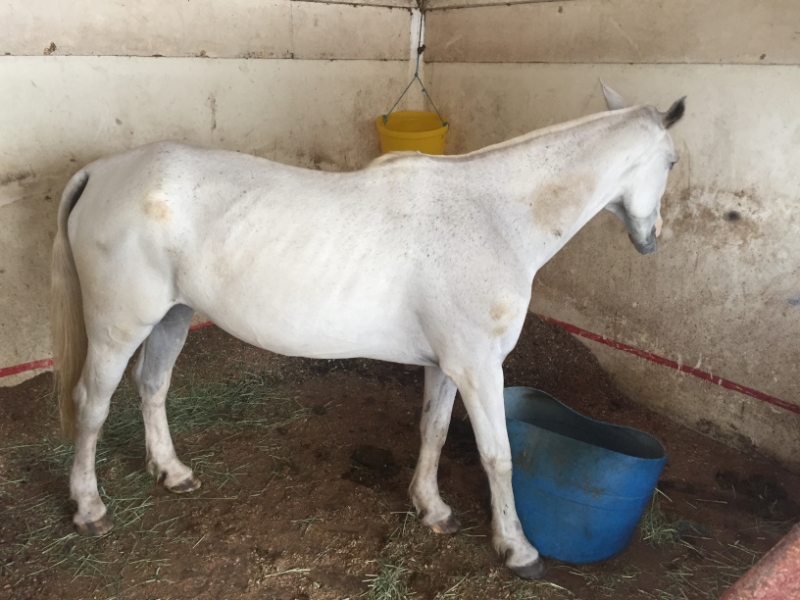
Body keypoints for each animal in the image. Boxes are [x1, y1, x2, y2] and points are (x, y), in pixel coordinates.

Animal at [51, 83, 684, 579]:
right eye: (674, 162)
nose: (653, 239)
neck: (494, 217)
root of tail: (102, 171)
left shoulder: (448, 366)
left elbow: (433, 432)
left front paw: (431, 509)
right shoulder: (480, 368)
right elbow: (498, 456)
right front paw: (518, 549)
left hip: (172, 317)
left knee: (152, 386)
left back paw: (173, 473)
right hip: (118, 327)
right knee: (91, 405)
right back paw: (89, 508)